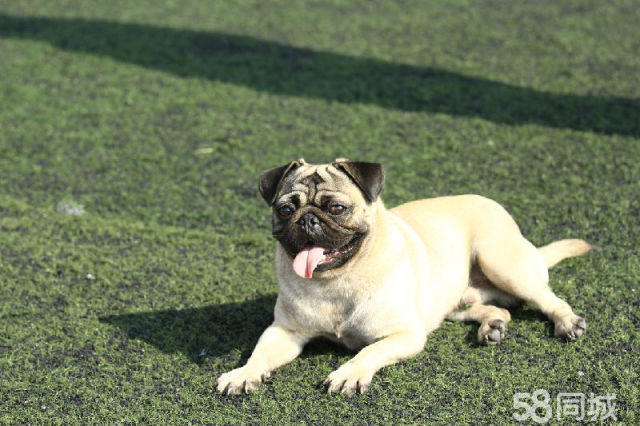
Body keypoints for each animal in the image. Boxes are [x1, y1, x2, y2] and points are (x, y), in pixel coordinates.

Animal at [215, 158, 592, 394]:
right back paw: (492, 326)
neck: (334, 281)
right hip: (454, 302)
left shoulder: (405, 335)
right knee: (498, 308)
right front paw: (243, 374)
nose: (307, 219)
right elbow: (258, 353)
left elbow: (369, 352)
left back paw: (566, 322)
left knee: (548, 297)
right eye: (285, 210)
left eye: (337, 208)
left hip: (502, 262)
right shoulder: (285, 332)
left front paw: (350, 373)